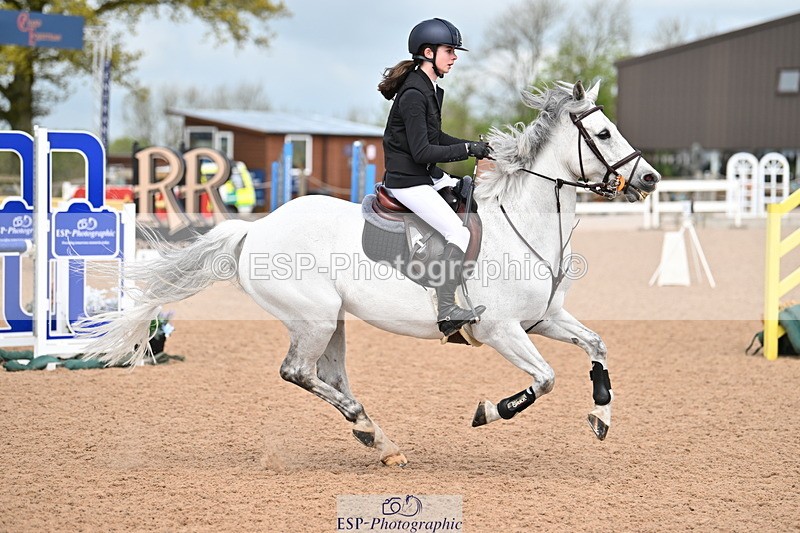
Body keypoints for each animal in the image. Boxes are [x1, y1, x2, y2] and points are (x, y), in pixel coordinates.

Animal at [80, 80, 660, 467]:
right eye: (603, 132)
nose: (650, 178)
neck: (523, 224)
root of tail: (256, 228)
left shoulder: (545, 320)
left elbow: (597, 346)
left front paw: (602, 418)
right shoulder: (503, 330)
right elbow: (544, 379)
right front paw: (489, 411)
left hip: (332, 319)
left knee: (327, 376)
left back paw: (377, 439)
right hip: (313, 317)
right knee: (297, 372)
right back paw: (367, 429)